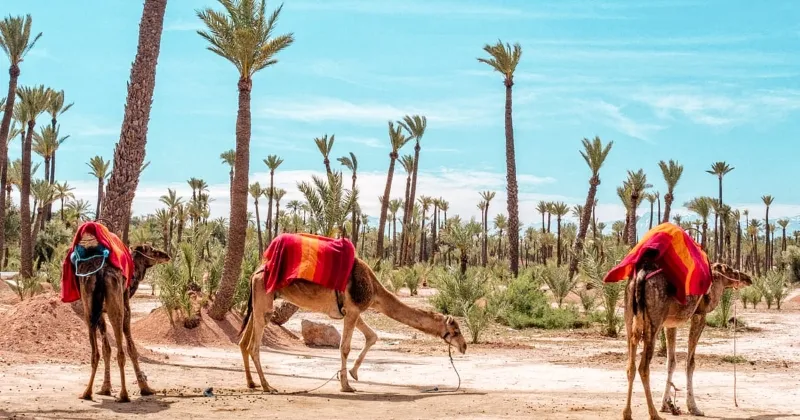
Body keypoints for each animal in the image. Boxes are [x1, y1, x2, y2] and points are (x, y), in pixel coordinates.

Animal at [76, 243, 170, 402]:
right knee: (120, 352)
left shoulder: (100, 313)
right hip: (116, 306)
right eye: (152, 249)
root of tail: (100, 272)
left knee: (95, 353)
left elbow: (106, 349)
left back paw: (87, 393)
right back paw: (124, 394)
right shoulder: (126, 307)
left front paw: (105, 388)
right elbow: (132, 348)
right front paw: (146, 388)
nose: (166, 255)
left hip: (88, 308)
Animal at [239, 257, 468, 393]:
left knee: (243, 342)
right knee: (253, 345)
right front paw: (346, 385)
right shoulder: (354, 309)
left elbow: (372, 336)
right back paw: (267, 386)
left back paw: (251, 383)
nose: (464, 346)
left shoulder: (353, 311)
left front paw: (353, 373)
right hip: (264, 302)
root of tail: (255, 273)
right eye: (455, 330)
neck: (374, 290)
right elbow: (345, 347)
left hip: (258, 302)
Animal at [623, 259, 752, 420]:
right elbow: (690, 363)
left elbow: (671, 362)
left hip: (629, 318)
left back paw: (627, 413)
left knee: (631, 366)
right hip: (654, 321)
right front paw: (694, 408)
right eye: (729, 269)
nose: (748, 278)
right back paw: (653, 414)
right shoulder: (699, 315)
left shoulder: (670, 323)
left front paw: (666, 405)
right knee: (643, 367)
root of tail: (640, 276)